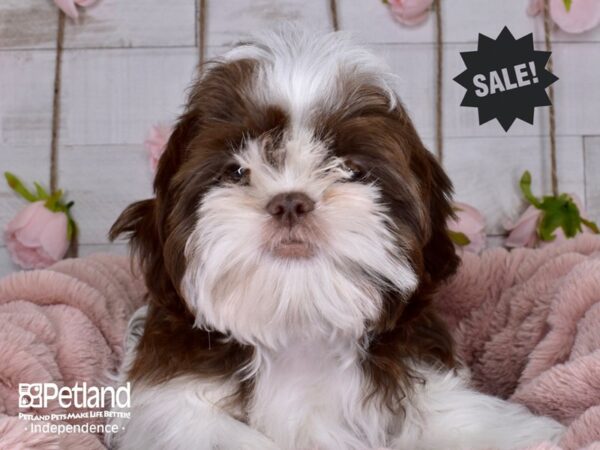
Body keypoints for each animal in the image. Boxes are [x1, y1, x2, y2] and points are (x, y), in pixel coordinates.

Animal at [106, 28, 564, 450]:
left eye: (350, 169)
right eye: (236, 170)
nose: (290, 202)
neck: (298, 331)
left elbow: (459, 417)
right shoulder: (169, 405)